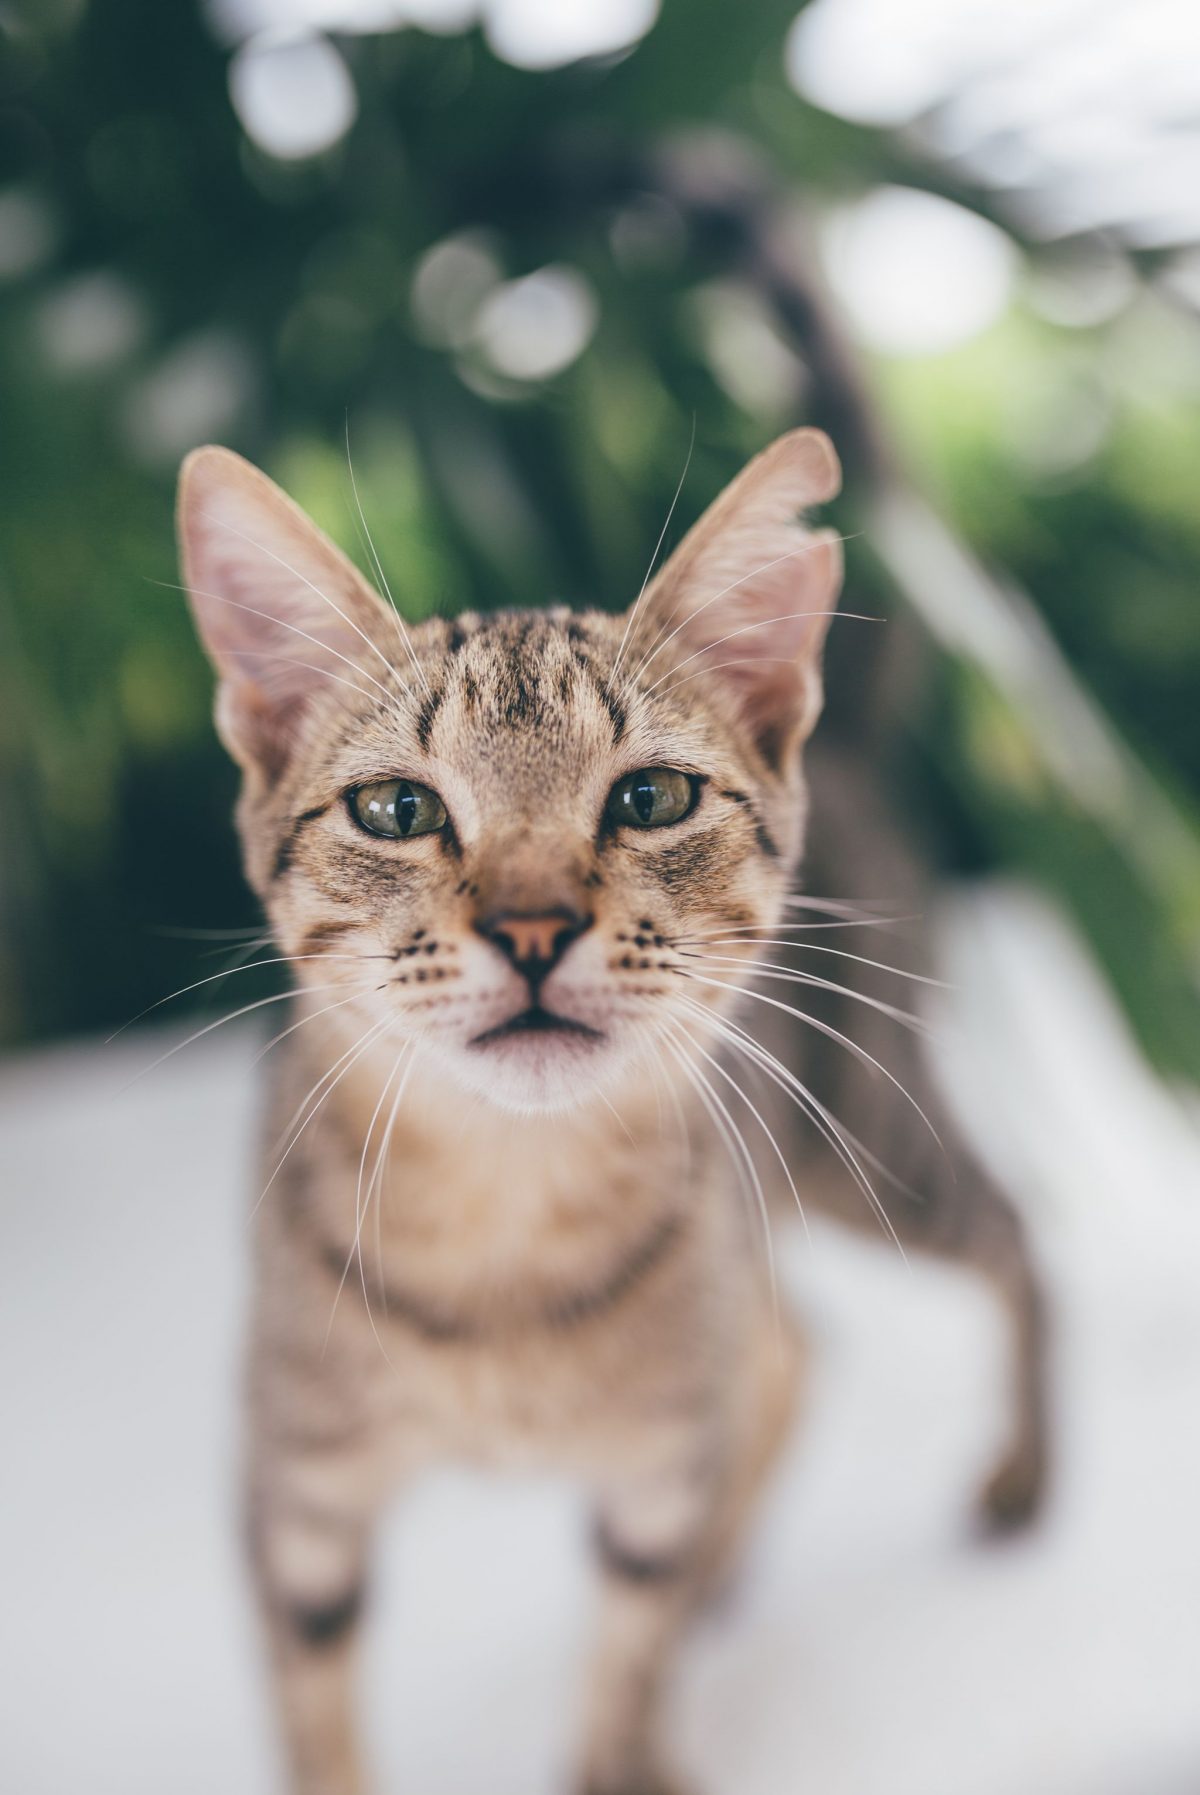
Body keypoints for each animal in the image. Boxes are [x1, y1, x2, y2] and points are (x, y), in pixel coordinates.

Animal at [177, 430, 1047, 1795]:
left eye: (651, 799)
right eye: (396, 809)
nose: (533, 925)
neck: (508, 1221)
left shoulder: (652, 1470)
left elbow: (627, 1648)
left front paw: (622, 1749)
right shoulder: (294, 1492)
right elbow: (316, 1713)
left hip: (865, 1131)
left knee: (1011, 1236)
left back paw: (1022, 1473)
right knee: (798, 1344)